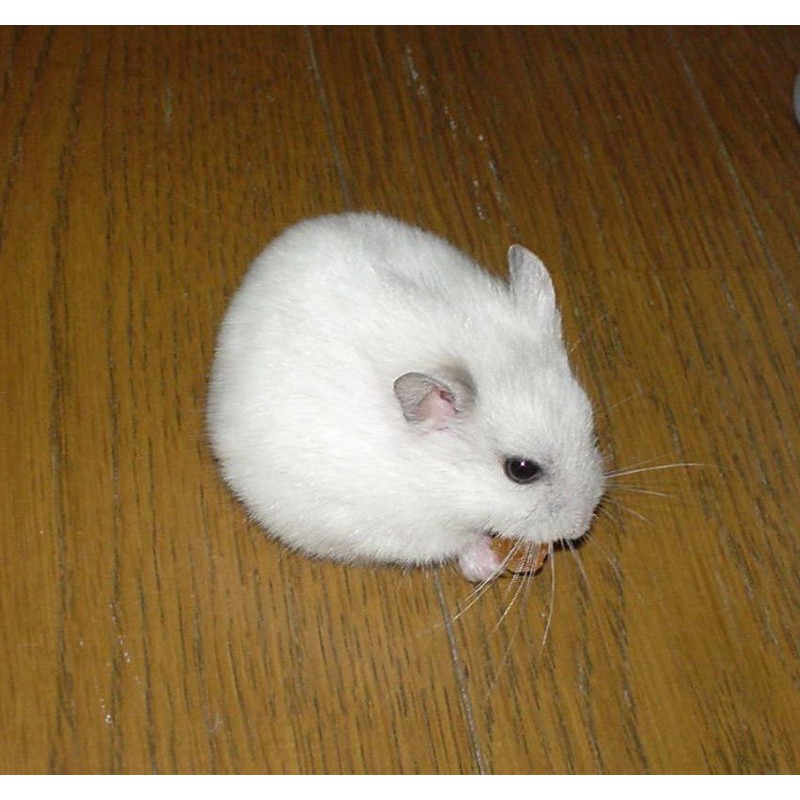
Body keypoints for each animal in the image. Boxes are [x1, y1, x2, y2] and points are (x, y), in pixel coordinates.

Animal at [207, 213, 604, 582]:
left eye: (590, 426)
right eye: (521, 470)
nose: (582, 526)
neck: (439, 478)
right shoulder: (406, 529)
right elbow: (459, 543)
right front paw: (489, 563)